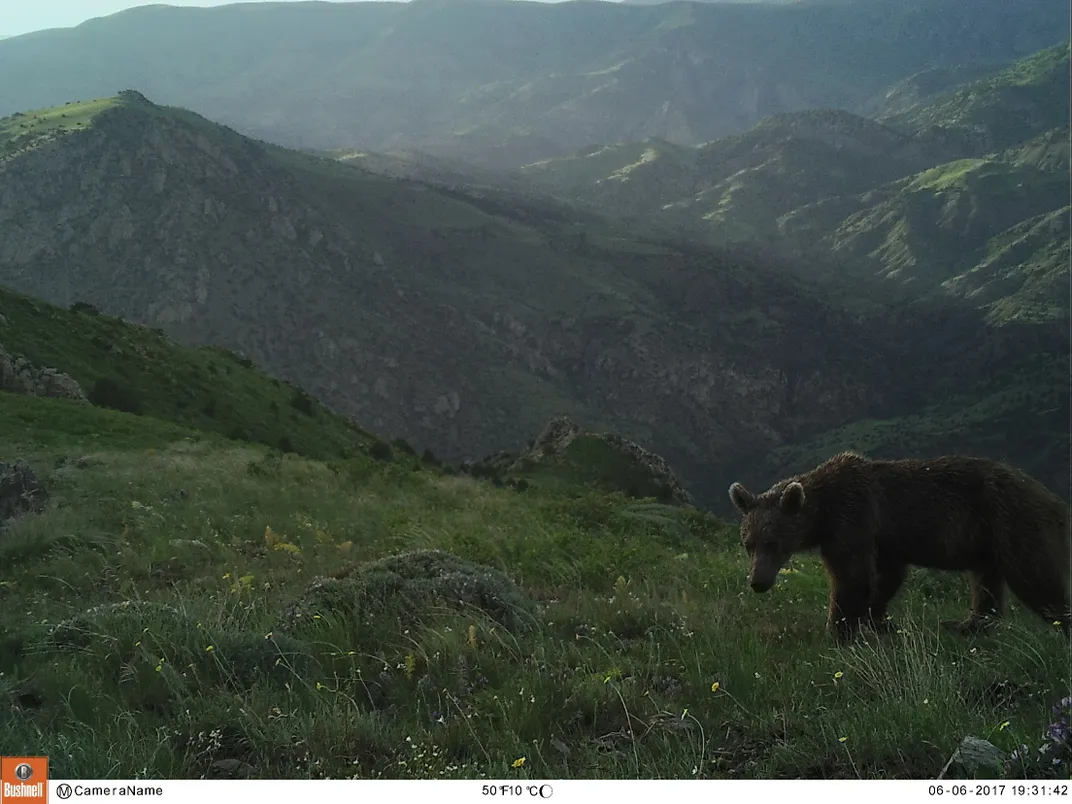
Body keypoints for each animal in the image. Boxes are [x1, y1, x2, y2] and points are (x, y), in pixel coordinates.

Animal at [724, 454, 1067, 643]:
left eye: (774, 543)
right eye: (748, 543)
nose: (758, 582)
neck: (822, 513)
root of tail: (1052, 498)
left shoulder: (852, 518)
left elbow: (852, 576)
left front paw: (838, 629)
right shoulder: (885, 539)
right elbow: (886, 576)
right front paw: (878, 620)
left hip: (1012, 520)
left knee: (1034, 576)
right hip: (988, 540)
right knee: (986, 581)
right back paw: (968, 624)